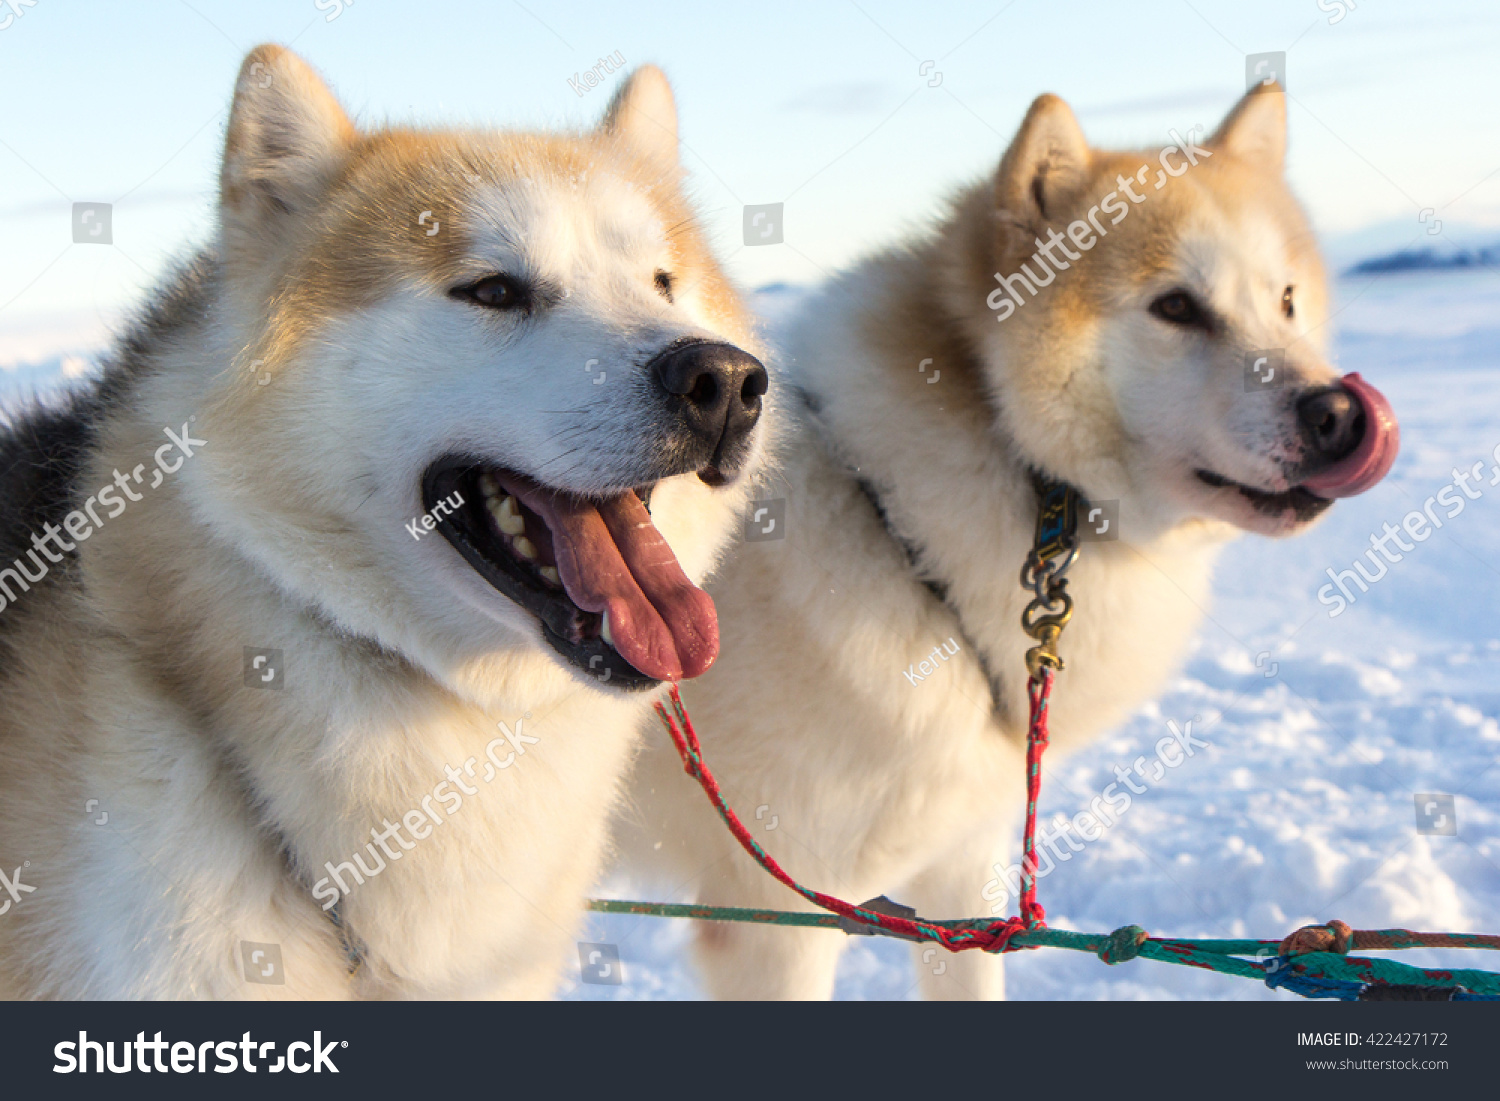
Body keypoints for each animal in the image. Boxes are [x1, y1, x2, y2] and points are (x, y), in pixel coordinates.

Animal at [615, 84, 1398, 1002]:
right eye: (1175, 307)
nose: (1336, 412)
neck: (900, 525)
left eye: (1285, 300)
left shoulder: (958, 881)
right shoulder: (778, 920)